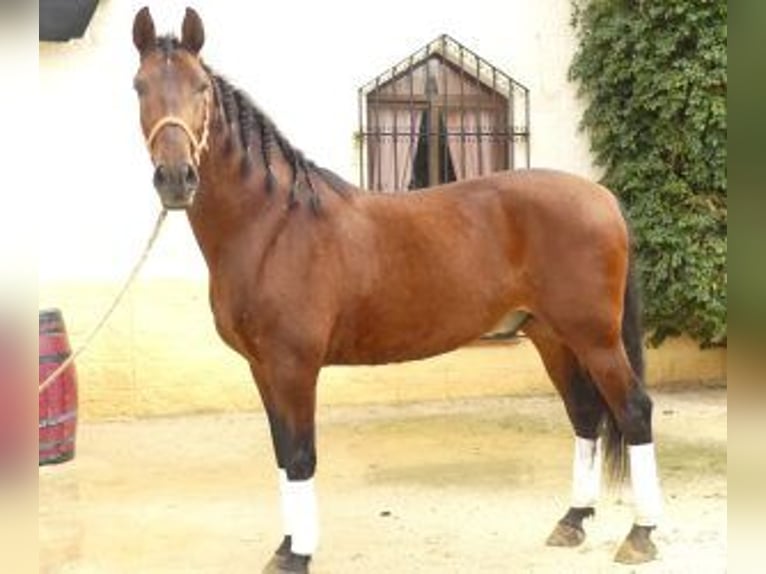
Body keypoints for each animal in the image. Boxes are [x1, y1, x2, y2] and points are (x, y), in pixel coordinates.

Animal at [132, 7, 663, 573]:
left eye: (201, 88)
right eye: (139, 86)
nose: (176, 177)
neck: (273, 225)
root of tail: (603, 196)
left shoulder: (293, 366)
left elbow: (300, 456)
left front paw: (299, 554)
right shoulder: (262, 367)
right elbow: (281, 454)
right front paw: (284, 547)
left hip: (595, 338)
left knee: (633, 411)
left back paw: (641, 533)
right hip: (551, 336)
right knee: (584, 415)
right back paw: (572, 520)